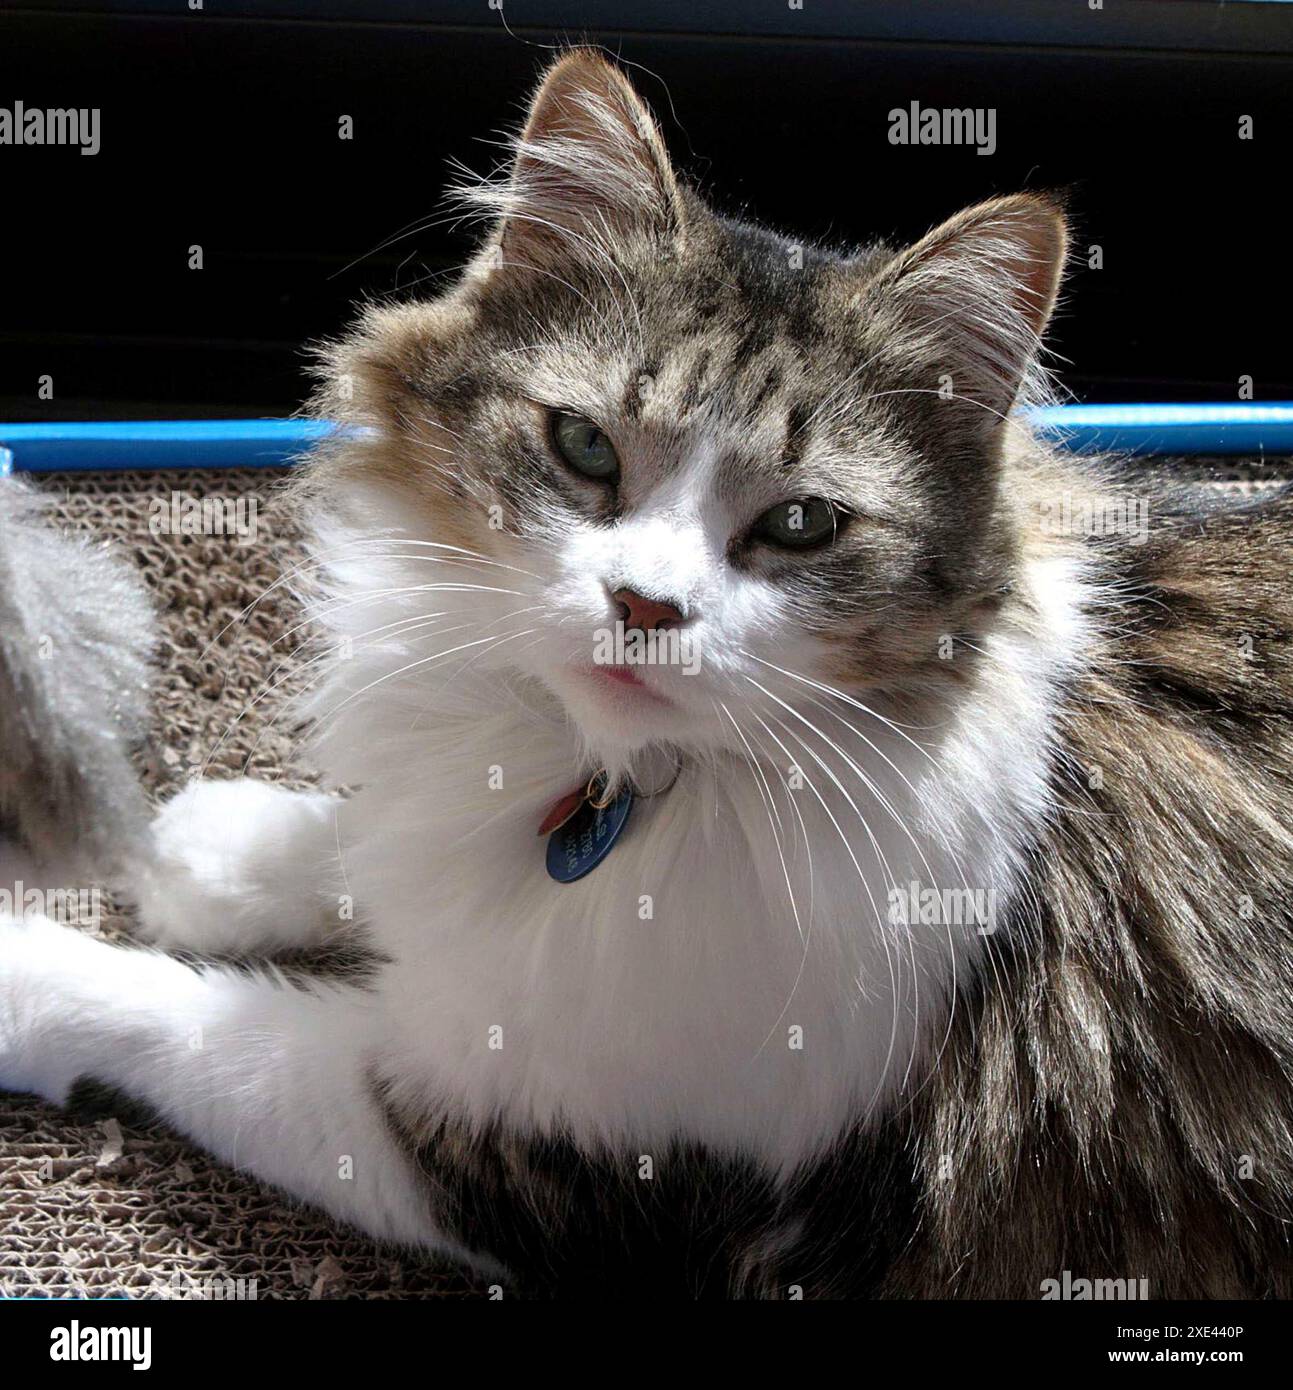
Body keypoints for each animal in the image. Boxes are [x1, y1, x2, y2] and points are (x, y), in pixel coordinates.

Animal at [2, 51, 1290, 1289]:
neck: (619, 785)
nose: (645, 607)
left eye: (803, 524)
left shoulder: (525, 1150)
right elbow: (358, 844)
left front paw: (37, 966)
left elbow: (192, 1023)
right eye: (585, 447)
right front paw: (210, 853)